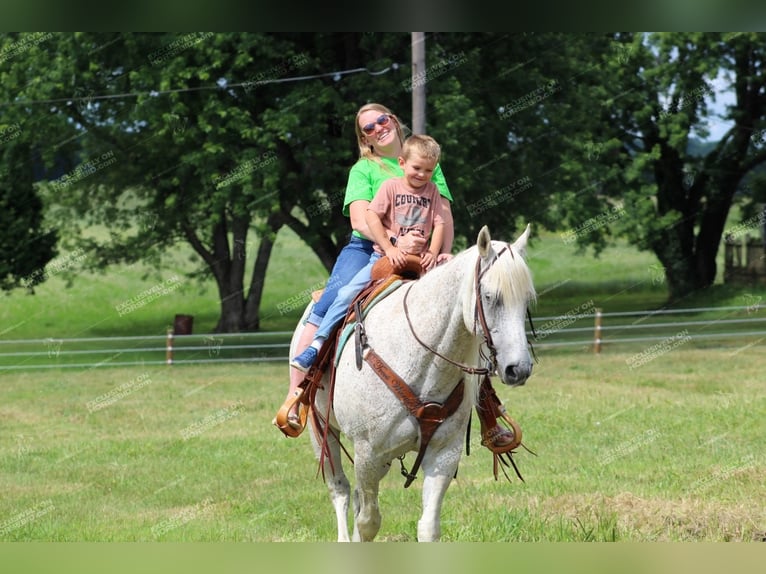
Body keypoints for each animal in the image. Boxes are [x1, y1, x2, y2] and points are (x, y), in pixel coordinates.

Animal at [292, 226, 536, 544]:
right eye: (489, 296)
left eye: (527, 299)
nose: (518, 369)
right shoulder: (367, 454)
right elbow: (367, 522)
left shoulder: (444, 453)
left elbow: (427, 527)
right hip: (321, 430)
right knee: (341, 491)